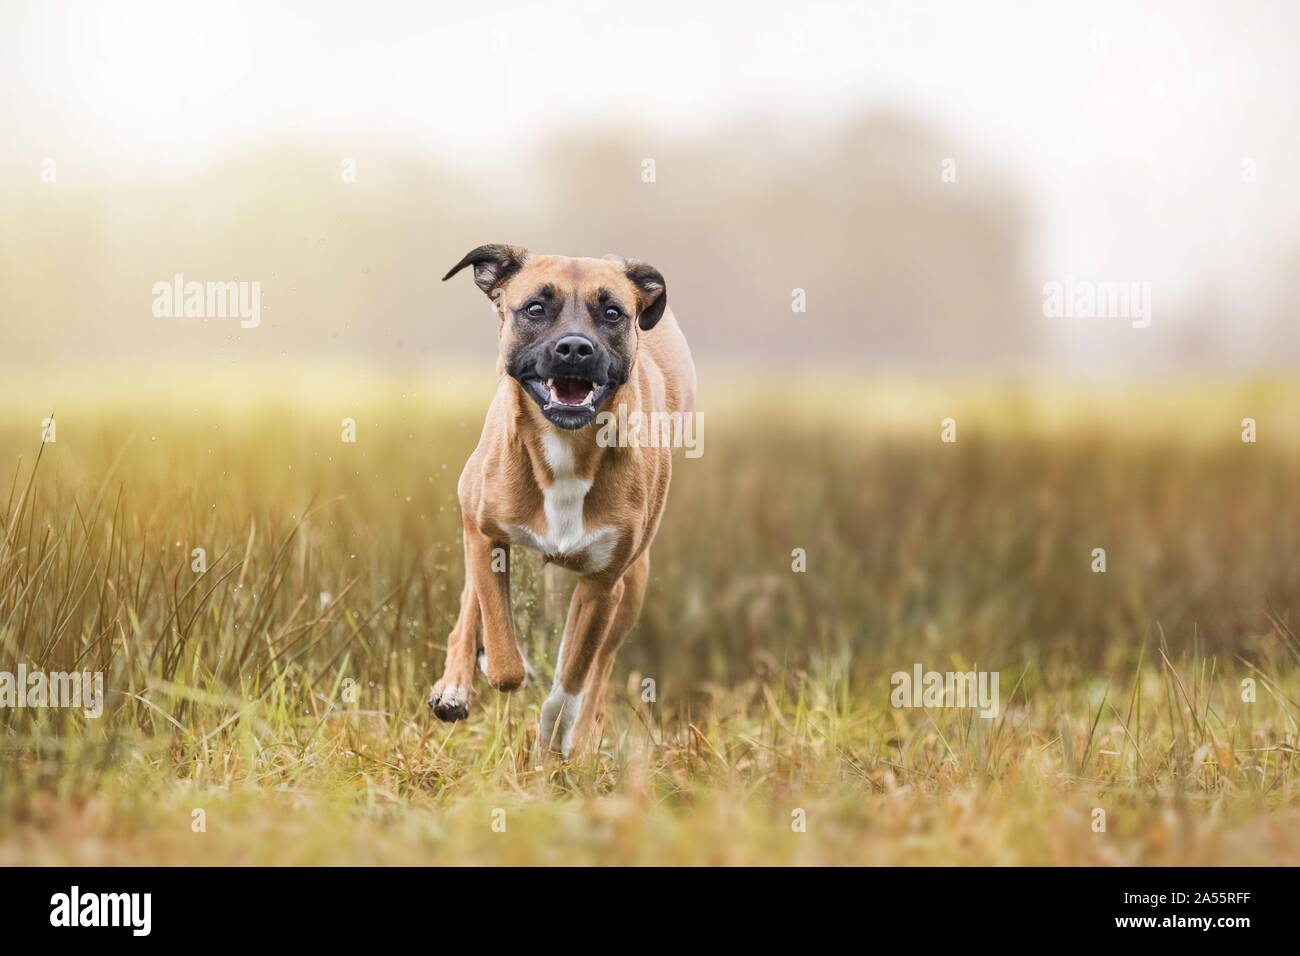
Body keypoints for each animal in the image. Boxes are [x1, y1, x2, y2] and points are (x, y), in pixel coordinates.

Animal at [428, 244, 696, 754]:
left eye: (612, 313)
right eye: (535, 308)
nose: (575, 348)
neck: (566, 447)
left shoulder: (604, 584)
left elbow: (574, 674)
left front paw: (556, 736)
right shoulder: (484, 533)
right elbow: (504, 656)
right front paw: (488, 663)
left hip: (633, 583)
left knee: (600, 669)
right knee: (472, 603)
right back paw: (455, 685)